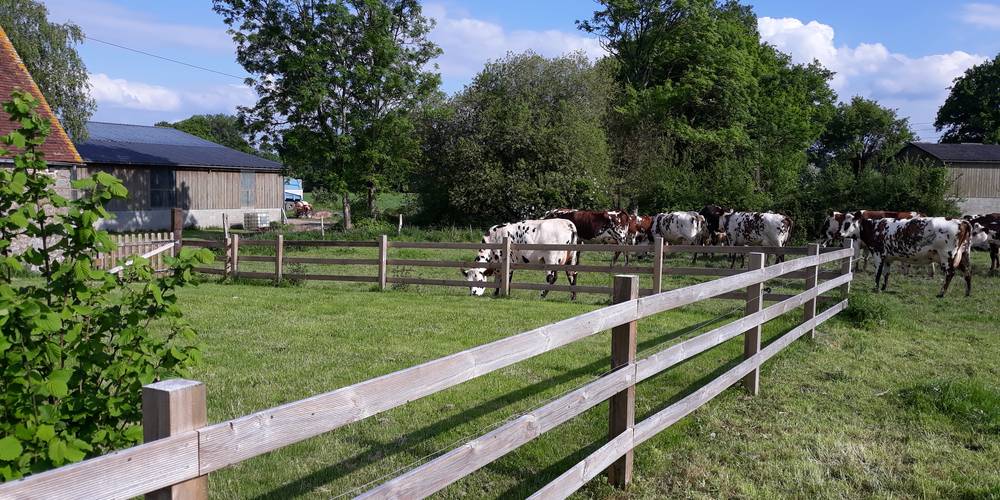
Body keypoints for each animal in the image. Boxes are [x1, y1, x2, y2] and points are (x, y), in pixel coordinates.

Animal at [839, 215, 973, 297]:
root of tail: (961, 221)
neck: (875, 227)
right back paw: (967, 293)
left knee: (950, 273)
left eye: (847, 224)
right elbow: (886, 273)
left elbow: (878, 273)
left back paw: (941, 293)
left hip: (947, 256)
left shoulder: (878, 254)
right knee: (967, 272)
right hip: (963, 255)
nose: (839, 233)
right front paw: (883, 288)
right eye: (841, 222)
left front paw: (876, 288)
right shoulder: (888, 258)